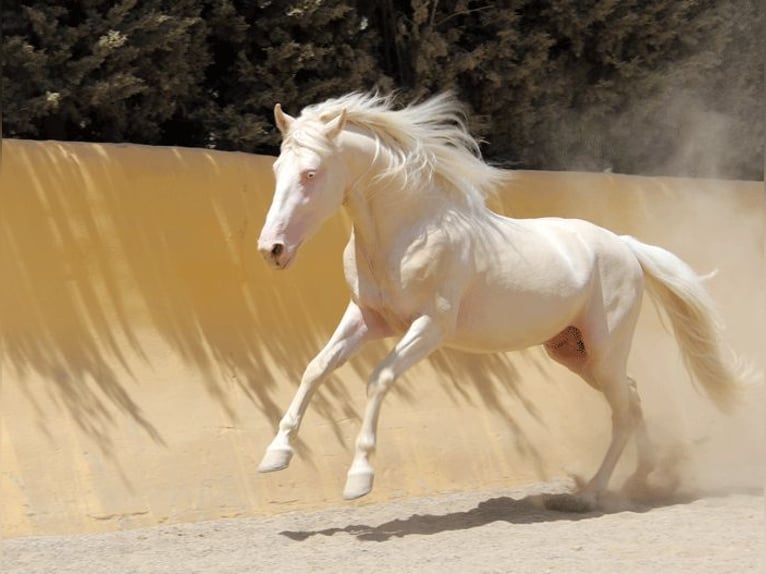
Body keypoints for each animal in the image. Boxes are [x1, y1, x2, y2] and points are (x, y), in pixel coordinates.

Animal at [255, 92, 748, 510]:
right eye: (277, 171)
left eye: (311, 173)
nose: (271, 249)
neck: (409, 232)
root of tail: (626, 247)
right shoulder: (367, 319)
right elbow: (316, 367)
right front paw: (275, 455)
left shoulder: (430, 327)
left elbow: (378, 379)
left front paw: (359, 478)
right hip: (573, 353)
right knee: (632, 398)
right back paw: (641, 480)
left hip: (605, 349)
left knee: (624, 411)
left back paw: (591, 495)